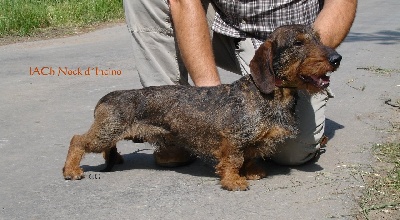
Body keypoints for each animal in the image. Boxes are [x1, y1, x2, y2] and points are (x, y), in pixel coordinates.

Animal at [62, 24, 340, 191]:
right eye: (298, 43)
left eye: (318, 39)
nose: (337, 58)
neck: (269, 95)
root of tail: (107, 97)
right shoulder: (233, 139)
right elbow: (233, 160)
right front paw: (234, 181)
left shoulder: (251, 141)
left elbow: (249, 157)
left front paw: (251, 172)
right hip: (104, 132)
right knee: (77, 140)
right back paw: (72, 170)